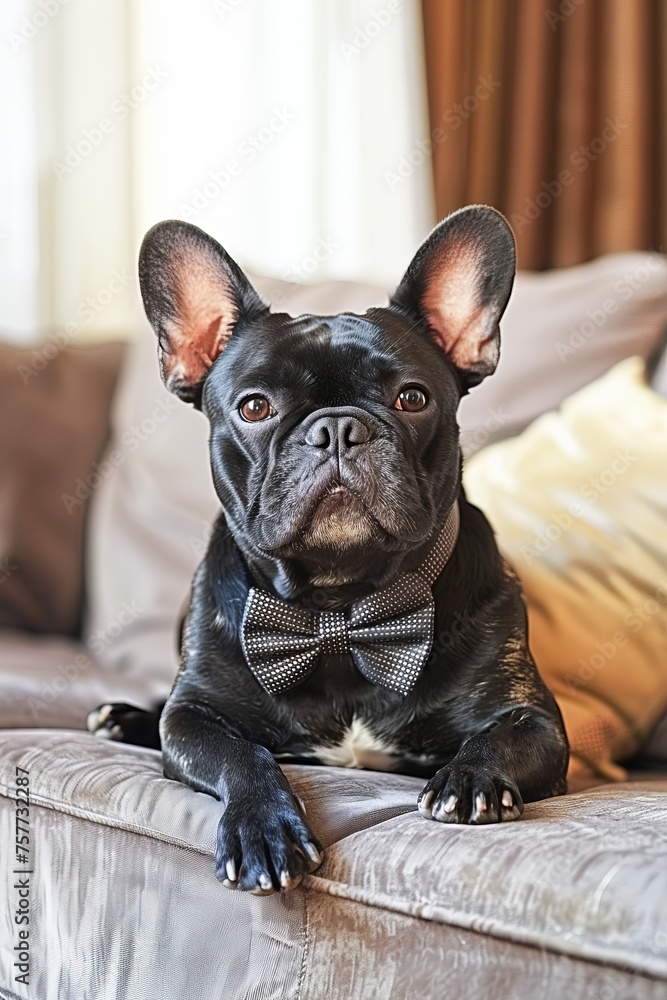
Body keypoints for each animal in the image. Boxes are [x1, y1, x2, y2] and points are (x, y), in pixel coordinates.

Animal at [88, 207, 568, 896]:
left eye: (412, 398)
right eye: (255, 407)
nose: (338, 427)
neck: (339, 609)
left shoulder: (538, 720)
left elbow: (503, 737)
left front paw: (470, 778)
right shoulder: (195, 717)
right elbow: (241, 753)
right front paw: (262, 828)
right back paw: (123, 717)